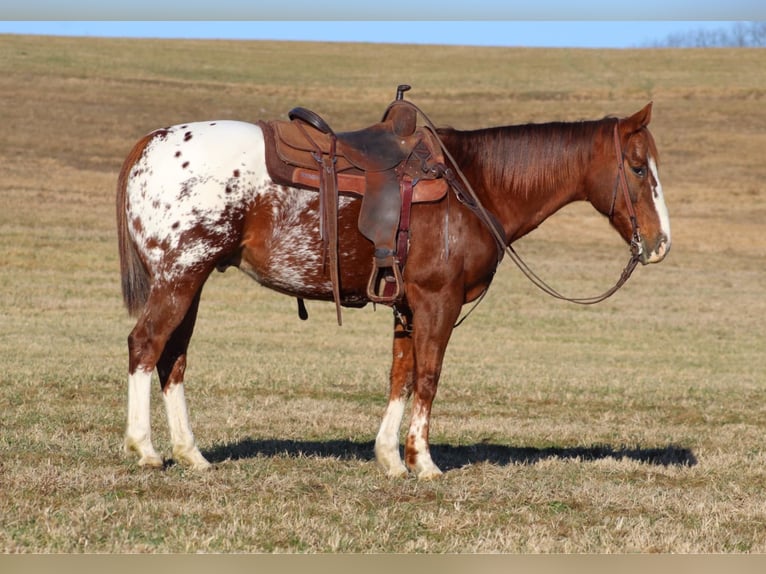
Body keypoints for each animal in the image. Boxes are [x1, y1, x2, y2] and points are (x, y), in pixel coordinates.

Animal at [115, 99, 672, 482]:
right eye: (638, 168)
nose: (661, 242)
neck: (474, 186)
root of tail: (152, 142)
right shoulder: (437, 301)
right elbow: (427, 377)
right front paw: (423, 461)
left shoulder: (406, 305)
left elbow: (399, 376)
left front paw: (389, 458)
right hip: (180, 277)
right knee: (145, 346)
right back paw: (145, 448)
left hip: (191, 282)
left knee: (173, 358)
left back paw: (191, 453)